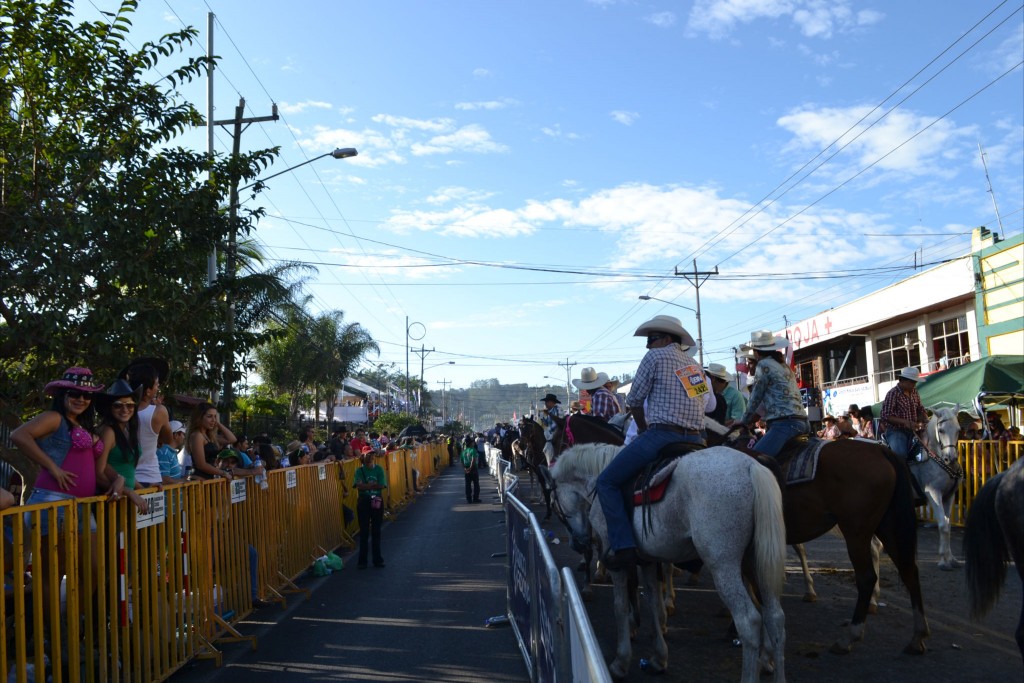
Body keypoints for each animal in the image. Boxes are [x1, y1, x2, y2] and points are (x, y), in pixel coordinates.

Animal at [552, 440, 782, 679]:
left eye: (555, 500)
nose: (577, 543)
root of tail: (751, 466)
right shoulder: (647, 560)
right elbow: (653, 601)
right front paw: (658, 658)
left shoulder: (618, 563)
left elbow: (620, 606)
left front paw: (621, 661)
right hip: (755, 562)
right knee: (774, 616)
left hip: (723, 564)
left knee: (749, 621)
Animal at [708, 421, 933, 655]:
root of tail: (881, 450)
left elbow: (748, 581)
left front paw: (734, 626)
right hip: (888, 524)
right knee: (908, 570)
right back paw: (917, 636)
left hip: (856, 531)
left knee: (867, 577)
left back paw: (849, 637)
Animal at [917, 405, 962, 573]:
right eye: (941, 430)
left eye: (958, 430)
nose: (951, 458)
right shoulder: (933, 494)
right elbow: (942, 525)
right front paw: (943, 561)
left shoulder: (949, 496)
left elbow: (948, 525)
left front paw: (951, 559)